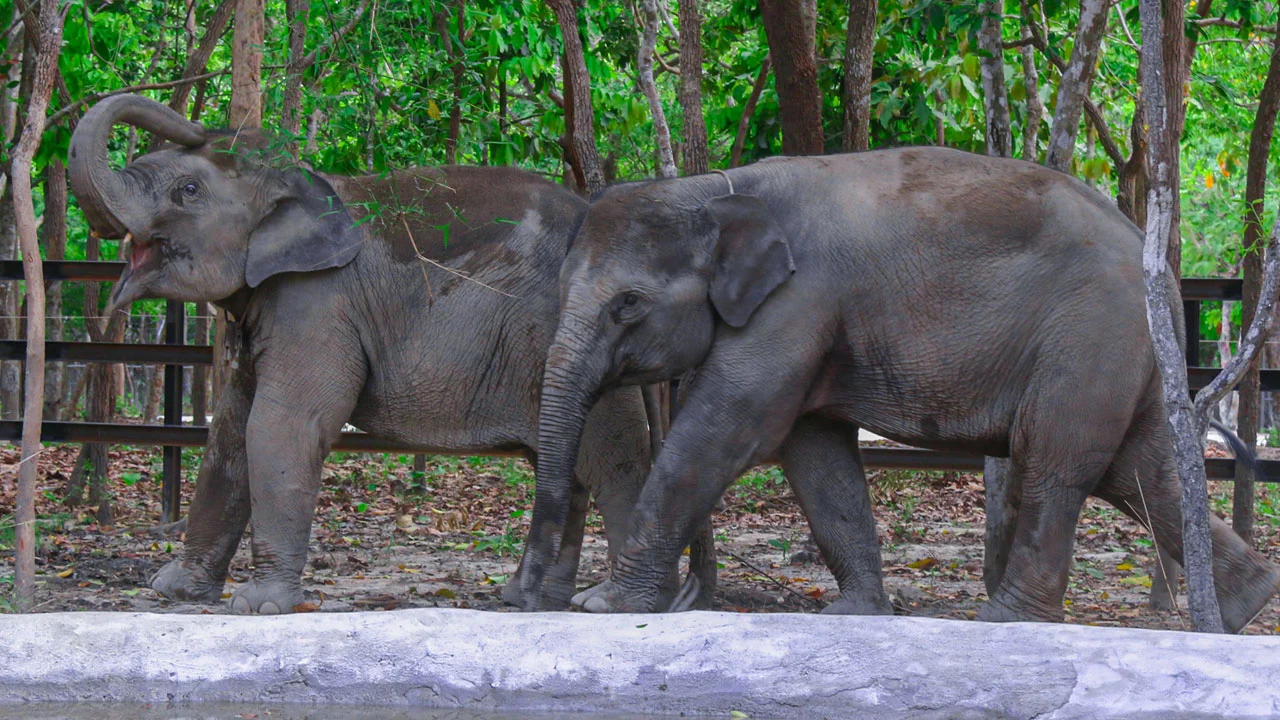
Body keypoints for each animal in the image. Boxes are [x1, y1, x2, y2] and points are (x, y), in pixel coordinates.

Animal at [66, 93, 715, 614]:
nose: (204, 120)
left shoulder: (318, 304)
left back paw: (622, 605)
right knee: (562, 463)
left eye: (189, 191)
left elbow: (283, 424)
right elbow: (229, 431)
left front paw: (257, 606)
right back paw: (532, 601)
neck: (302, 183)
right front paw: (171, 590)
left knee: (613, 461)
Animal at [518, 147, 1280, 632]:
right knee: (1140, 469)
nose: (528, 595)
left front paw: (603, 606)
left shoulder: (797, 303)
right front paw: (854, 614)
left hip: (1088, 337)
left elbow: (729, 429)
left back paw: (1005, 619)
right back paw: (1246, 606)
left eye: (627, 305)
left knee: (1056, 462)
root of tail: (1161, 267)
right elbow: (815, 453)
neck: (713, 188)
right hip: (1125, 351)